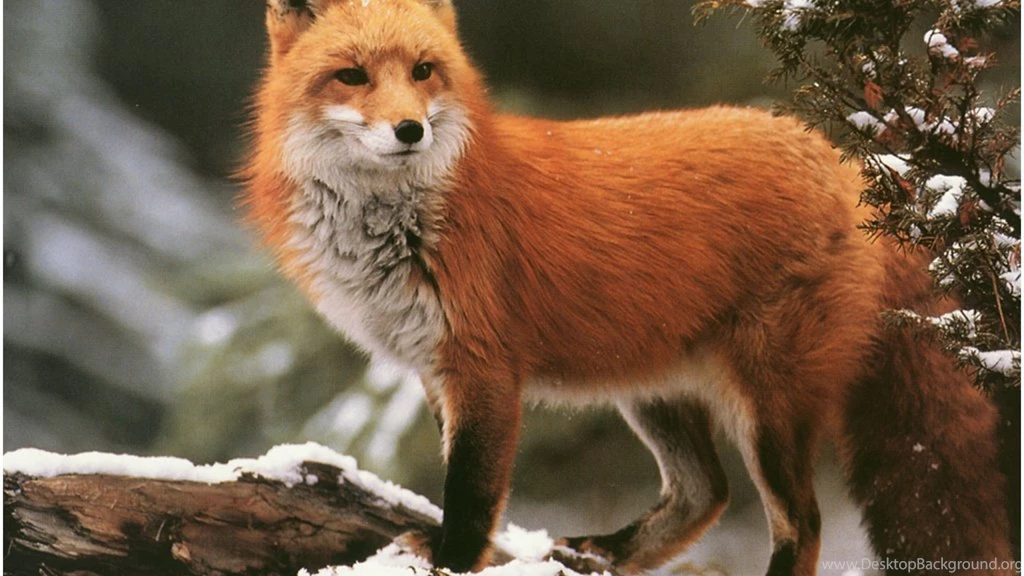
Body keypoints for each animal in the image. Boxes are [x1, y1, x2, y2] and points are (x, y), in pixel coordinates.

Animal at [241, 0, 1013, 574]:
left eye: (423, 71)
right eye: (351, 75)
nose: (410, 130)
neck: (401, 224)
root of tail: (850, 166)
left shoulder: (483, 369)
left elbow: (472, 493)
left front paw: (453, 561)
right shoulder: (435, 369)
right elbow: (462, 481)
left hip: (767, 407)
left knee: (802, 523)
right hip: (651, 390)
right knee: (705, 494)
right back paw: (607, 551)